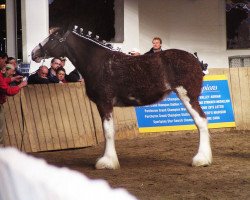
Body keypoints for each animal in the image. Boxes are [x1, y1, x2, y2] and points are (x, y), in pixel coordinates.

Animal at [30, 26, 212, 170]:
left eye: (53, 38)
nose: (33, 53)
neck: (98, 62)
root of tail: (196, 61)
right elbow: (107, 131)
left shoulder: (104, 103)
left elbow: (108, 131)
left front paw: (107, 162)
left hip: (188, 97)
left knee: (201, 121)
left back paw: (201, 159)